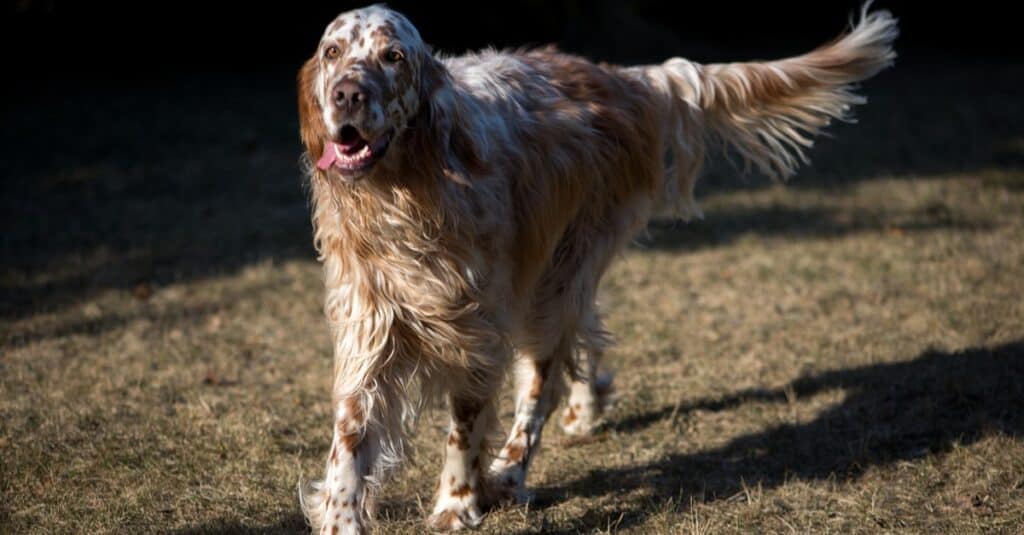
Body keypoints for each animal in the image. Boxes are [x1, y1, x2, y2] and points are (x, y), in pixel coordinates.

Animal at [294, 4, 897, 528]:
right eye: (332, 52)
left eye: (393, 56)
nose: (347, 94)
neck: (405, 193)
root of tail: (619, 78)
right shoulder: (369, 329)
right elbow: (350, 440)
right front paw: (342, 520)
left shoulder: (476, 332)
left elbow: (465, 427)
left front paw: (457, 506)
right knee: (580, 336)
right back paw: (586, 407)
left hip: (557, 278)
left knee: (541, 384)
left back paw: (512, 471)